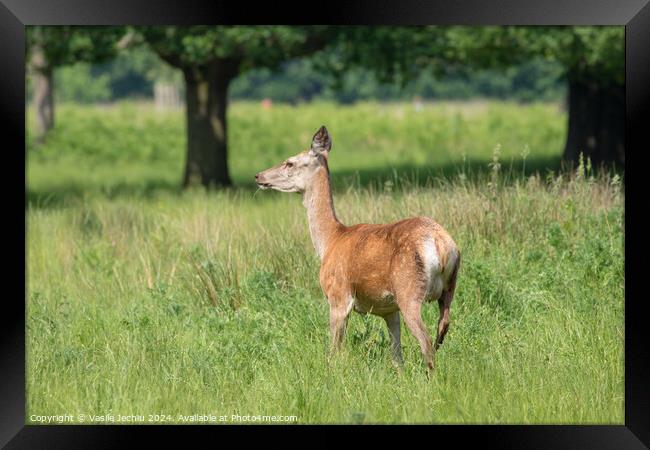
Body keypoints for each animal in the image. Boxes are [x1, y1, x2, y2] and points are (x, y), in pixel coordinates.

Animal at [254, 125, 460, 372]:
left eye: (290, 162)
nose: (259, 176)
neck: (330, 241)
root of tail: (442, 245)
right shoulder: (389, 310)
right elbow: (396, 356)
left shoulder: (338, 295)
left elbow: (334, 351)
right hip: (448, 288)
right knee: (442, 328)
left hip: (408, 289)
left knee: (426, 341)